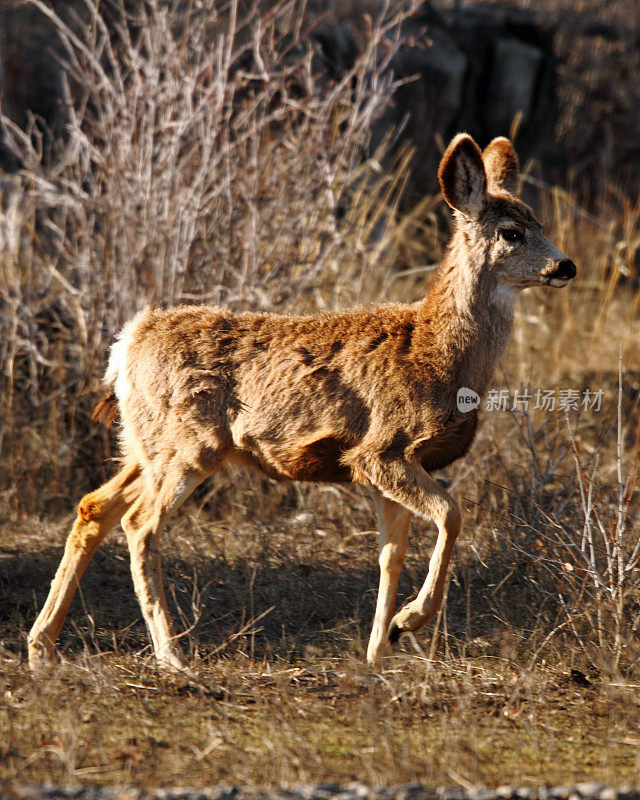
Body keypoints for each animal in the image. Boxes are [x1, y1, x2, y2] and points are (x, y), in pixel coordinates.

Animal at [27, 134, 576, 672]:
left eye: (539, 222)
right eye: (511, 232)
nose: (565, 265)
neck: (437, 354)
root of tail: (127, 343)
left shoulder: (388, 467)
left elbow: (391, 554)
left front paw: (381, 650)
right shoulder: (380, 449)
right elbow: (451, 515)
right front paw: (410, 620)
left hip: (146, 443)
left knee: (94, 507)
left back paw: (42, 647)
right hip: (189, 442)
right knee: (139, 524)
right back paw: (171, 656)